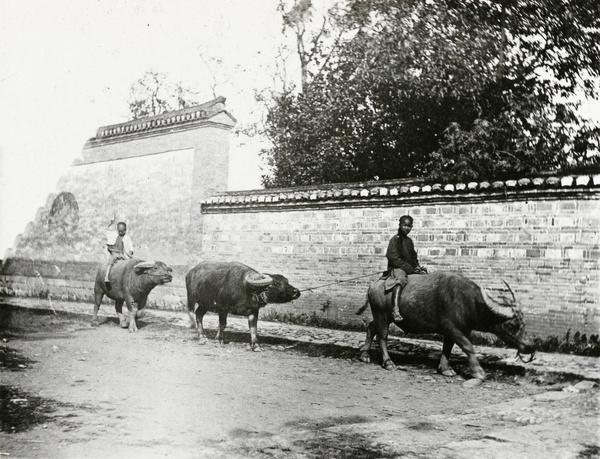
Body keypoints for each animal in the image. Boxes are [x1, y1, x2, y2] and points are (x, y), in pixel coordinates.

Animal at [356, 272, 536, 380]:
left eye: (524, 323)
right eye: (512, 325)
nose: (530, 346)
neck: (470, 303)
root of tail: (373, 285)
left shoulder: (456, 331)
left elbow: (447, 348)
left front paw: (445, 368)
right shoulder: (452, 328)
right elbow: (468, 346)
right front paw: (478, 372)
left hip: (384, 317)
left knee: (371, 327)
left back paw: (364, 355)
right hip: (381, 314)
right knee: (382, 337)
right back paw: (389, 363)